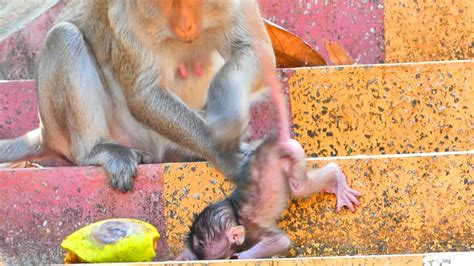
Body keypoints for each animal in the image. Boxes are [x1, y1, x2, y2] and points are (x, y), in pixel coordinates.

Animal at [0, 0, 274, 191]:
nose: (185, 26)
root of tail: (45, 133)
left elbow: (256, 52)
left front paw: (226, 109)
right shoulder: (128, 17)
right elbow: (143, 95)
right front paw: (224, 152)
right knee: (64, 37)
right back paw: (97, 149)